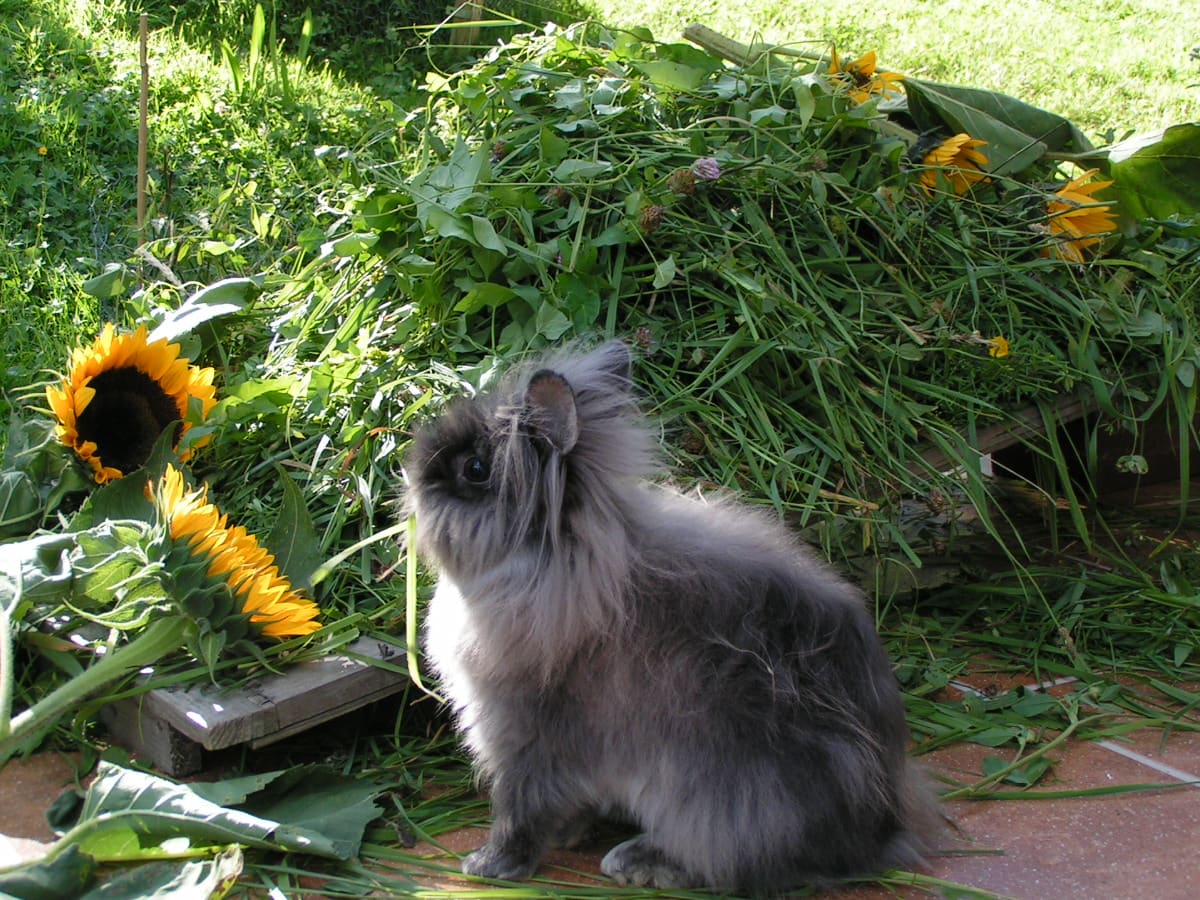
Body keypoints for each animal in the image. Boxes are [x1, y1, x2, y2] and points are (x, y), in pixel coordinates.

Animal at [405, 340, 938, 895]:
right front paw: (567, 836)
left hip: (717, 799)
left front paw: (488, 865)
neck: (546, 569)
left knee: (731, 860)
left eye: (475, 468)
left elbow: (520, 811)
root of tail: (881, 833)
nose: (412, 468)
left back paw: (637, 860)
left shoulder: (526, 737)